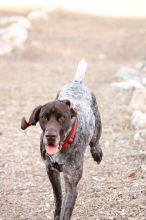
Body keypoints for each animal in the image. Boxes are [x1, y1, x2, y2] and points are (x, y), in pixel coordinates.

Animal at [20, 58, 102, 220]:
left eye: (62, 118)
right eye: (44, 117)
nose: (50, 136)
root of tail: (77, 82)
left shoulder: (71, 183)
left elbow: (66, 210)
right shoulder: (51, 171)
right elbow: (58, 198)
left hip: (97, 127)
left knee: (95, 143)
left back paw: (97, 153)